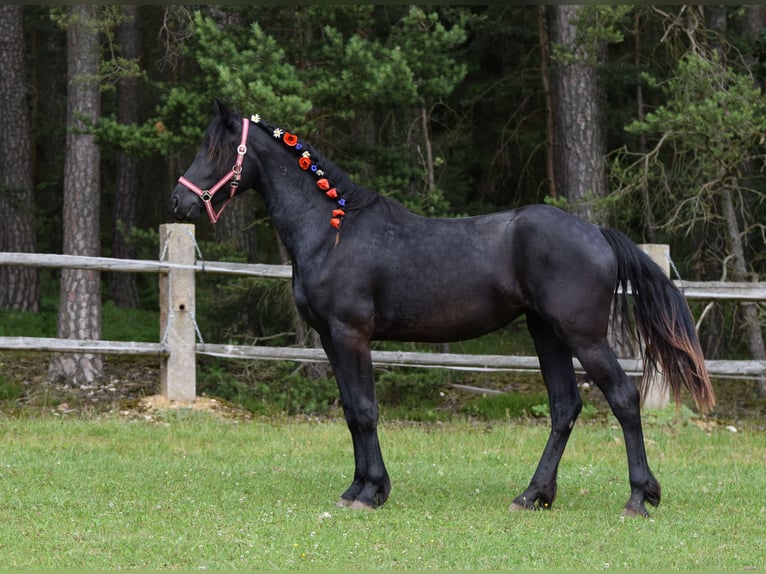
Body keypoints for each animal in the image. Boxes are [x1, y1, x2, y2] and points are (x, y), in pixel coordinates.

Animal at [171, 102, 716, 516]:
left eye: (218, 151)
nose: (180, 202)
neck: (331, 230)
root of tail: (597, 233)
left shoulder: (351, 334)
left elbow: (365, 410)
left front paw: (370, 493)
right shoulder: (329, 339)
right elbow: (350, 410)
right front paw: (357, 488)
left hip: (583, 336)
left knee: (623, 398)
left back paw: (638, 499)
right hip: (546, 333)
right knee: (565, 407)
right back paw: (532, 496)